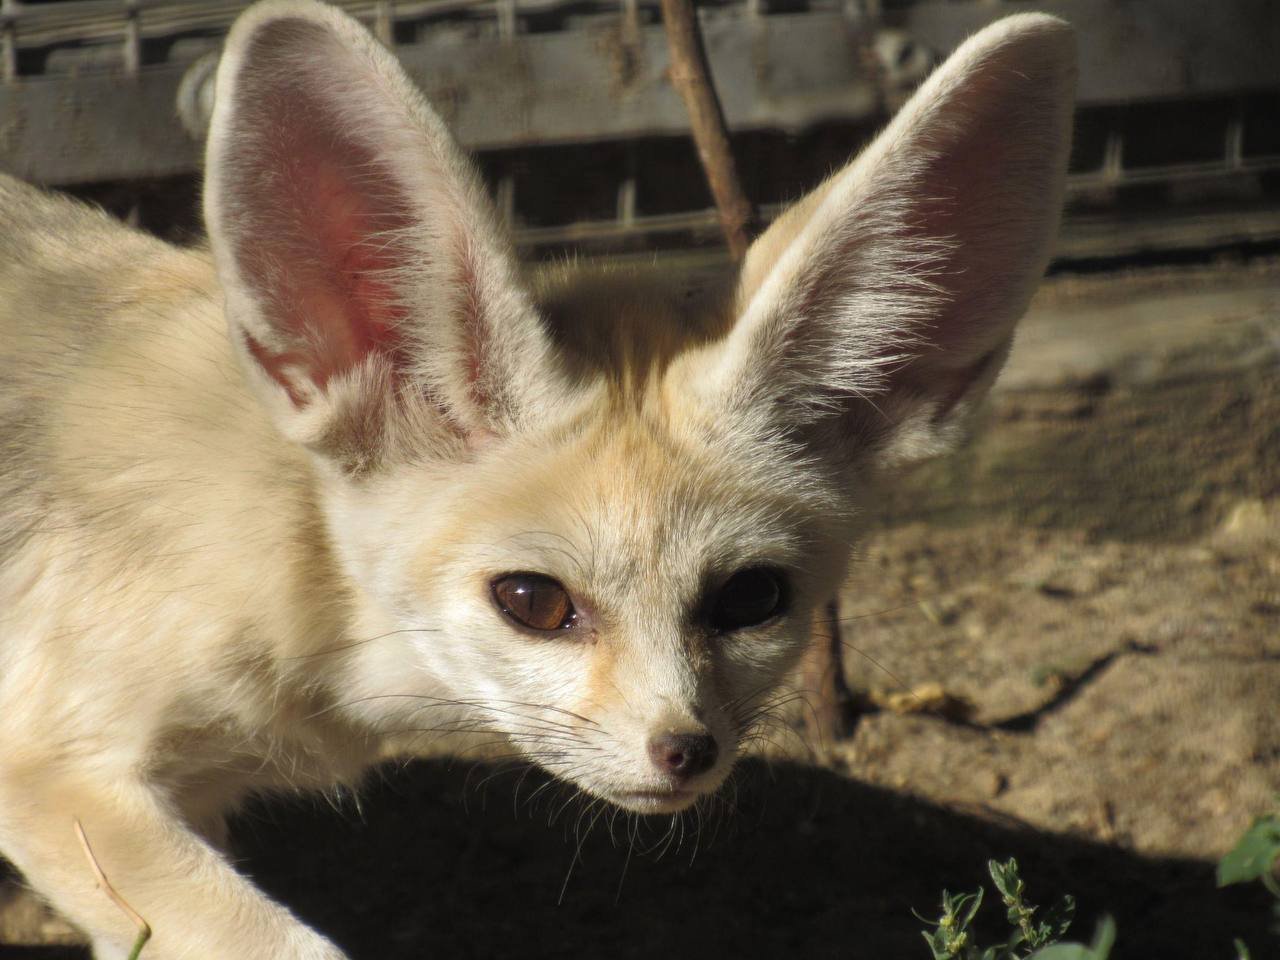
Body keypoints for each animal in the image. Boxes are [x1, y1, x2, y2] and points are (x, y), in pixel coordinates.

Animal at [0, 1, 1075, 957]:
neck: (283, 540)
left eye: (753, 599)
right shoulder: (56, 777)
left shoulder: (180, 804)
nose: (684, 751)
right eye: (531, 601)